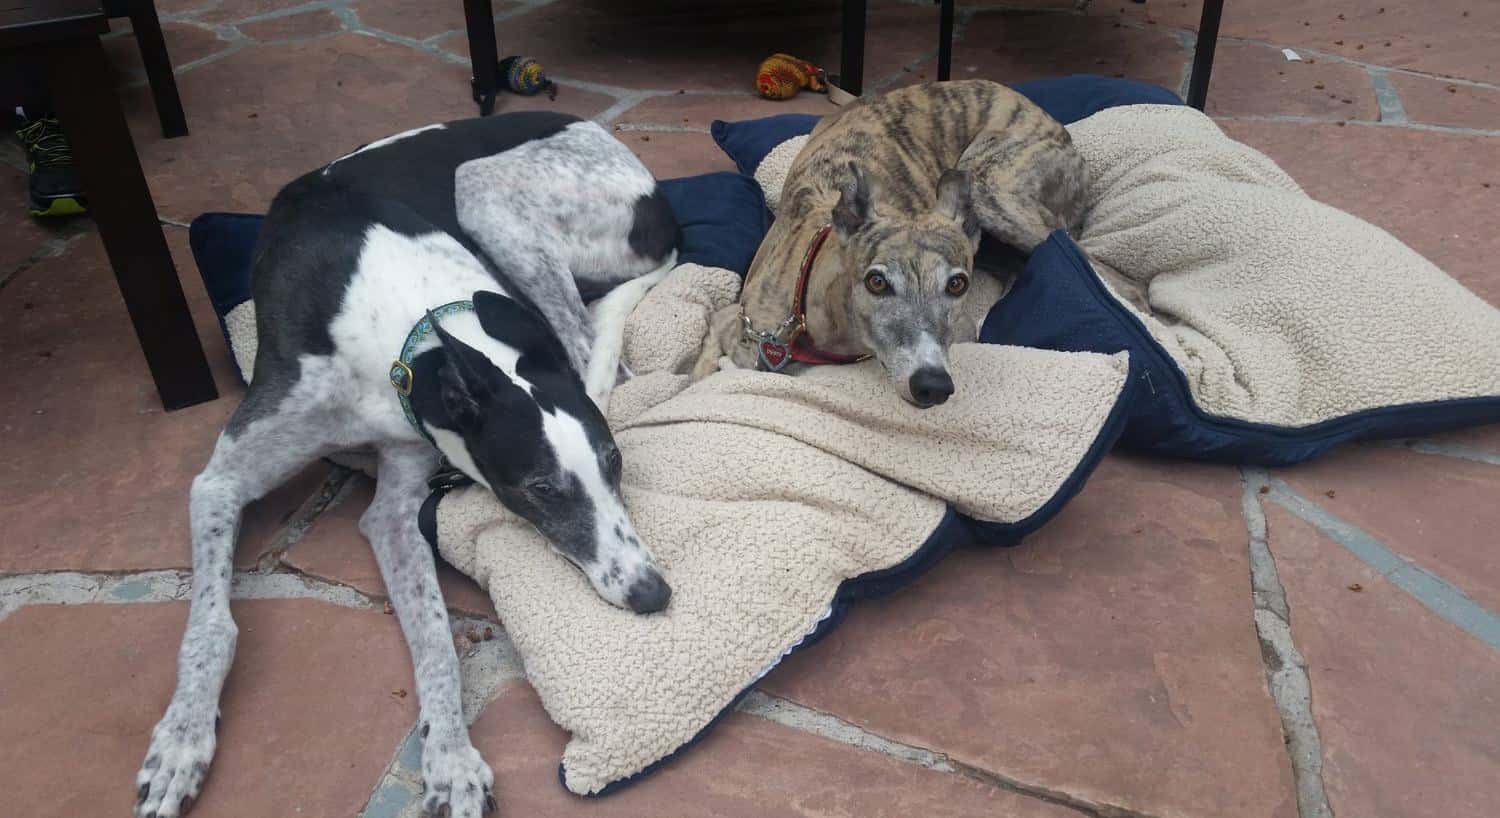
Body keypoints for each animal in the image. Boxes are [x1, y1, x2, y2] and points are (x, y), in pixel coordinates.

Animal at [136, 113, 681, 816]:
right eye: (540, 489)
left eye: (616, 462)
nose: (653, 594)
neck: (413, 331)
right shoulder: (224, 480)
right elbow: (210, 625)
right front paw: (181, 740)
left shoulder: (400, 490)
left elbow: (438, 640)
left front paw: (450, 759)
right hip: (483, 191)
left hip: (501, 207)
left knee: (598, 350)